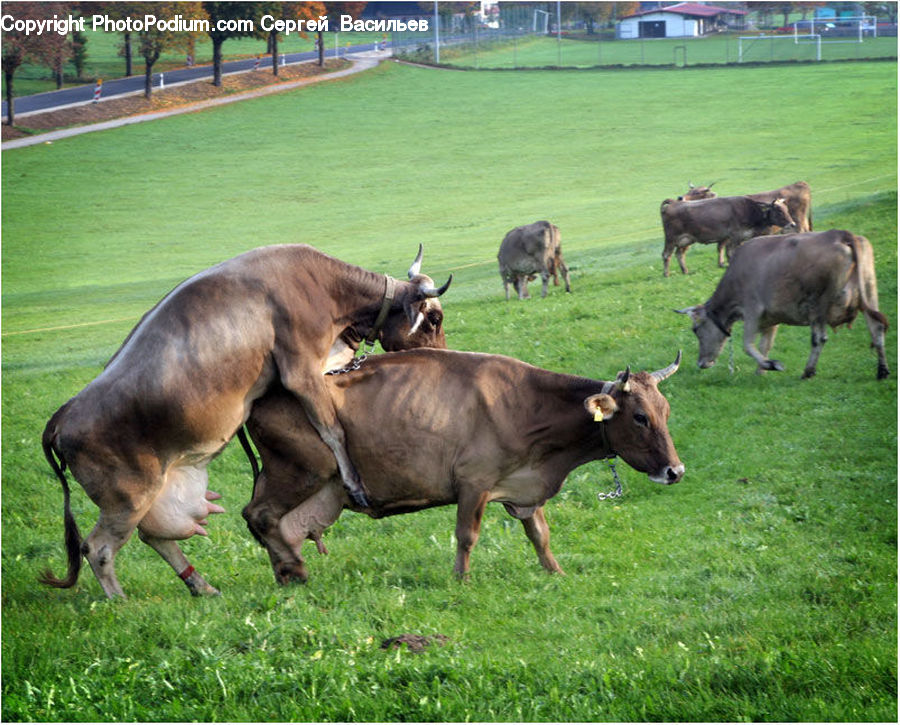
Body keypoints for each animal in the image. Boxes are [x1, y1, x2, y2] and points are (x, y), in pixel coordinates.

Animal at [40, 244, 451, 598]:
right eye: (433, 318)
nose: (445, 356)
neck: (323, 286)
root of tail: (63, 414)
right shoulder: (301, 369)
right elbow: (333, 429)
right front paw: (355, 482)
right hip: (125, 498)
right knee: (98, 548)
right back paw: (120, 601)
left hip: (153, 492)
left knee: (155, 537)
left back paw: (202, 587)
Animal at [240, 348, 684, 584]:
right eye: (640, 418)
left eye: (665, 411)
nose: (675, 471)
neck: (525, 404)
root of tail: (262, 399)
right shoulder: (475, 483)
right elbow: (466, 535)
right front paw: (461, 580)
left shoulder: (524, 485)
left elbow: (540, 535)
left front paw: (555, 572)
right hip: (299, 472)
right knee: (259, 515)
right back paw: (293, 570)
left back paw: (285, 571)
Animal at [660, 195, 796, 277]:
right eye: (779, 210)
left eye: (786, 209)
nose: (793, 224)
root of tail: (674, 203)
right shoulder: (735, 235)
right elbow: (731, 252)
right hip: (671, 238)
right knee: (666, 255)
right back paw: (666, 274)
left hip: (686, 240)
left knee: (679, 254)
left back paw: (685, 271)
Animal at [676, 230, 889, 380]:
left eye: (696, 330)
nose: (701, 363)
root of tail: (840, 234)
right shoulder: (772, 318)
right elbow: (765, 344)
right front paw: (761, 371)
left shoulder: (752, 309)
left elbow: (748, 344)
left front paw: (771, 365)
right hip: (869, 293)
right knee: (876, 329)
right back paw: (882, 371)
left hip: (818, 305)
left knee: (819, 338)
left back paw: (808, 371)